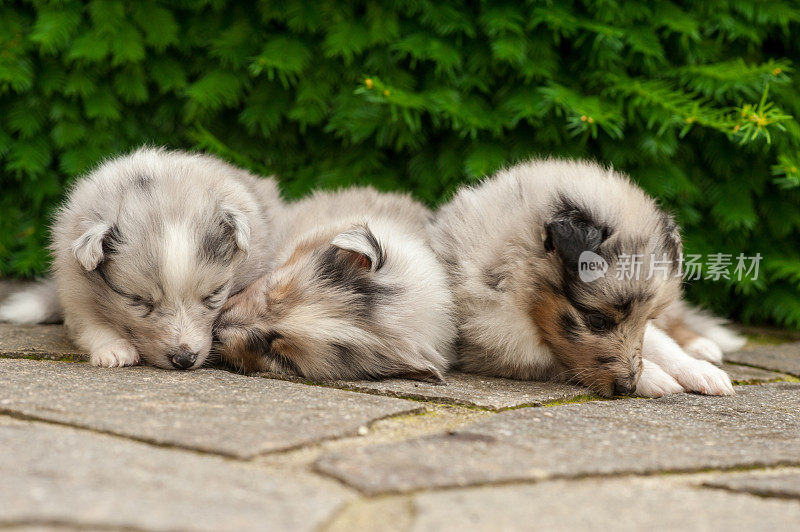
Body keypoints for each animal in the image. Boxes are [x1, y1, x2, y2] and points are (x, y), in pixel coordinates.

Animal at [0, 145, 282, 370]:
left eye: (214, 295)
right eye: (138, 301)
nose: (184, 360)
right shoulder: (74, 285)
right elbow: (89, 323)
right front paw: (114, 350)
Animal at [432, 160, 744, 396]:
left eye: (646, 319)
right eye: (597, 321)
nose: (627, 388)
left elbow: (659, 343)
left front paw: (700, 372)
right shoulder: (501, 344)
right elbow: (568, 358)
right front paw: (656, 379)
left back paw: (703, 346)